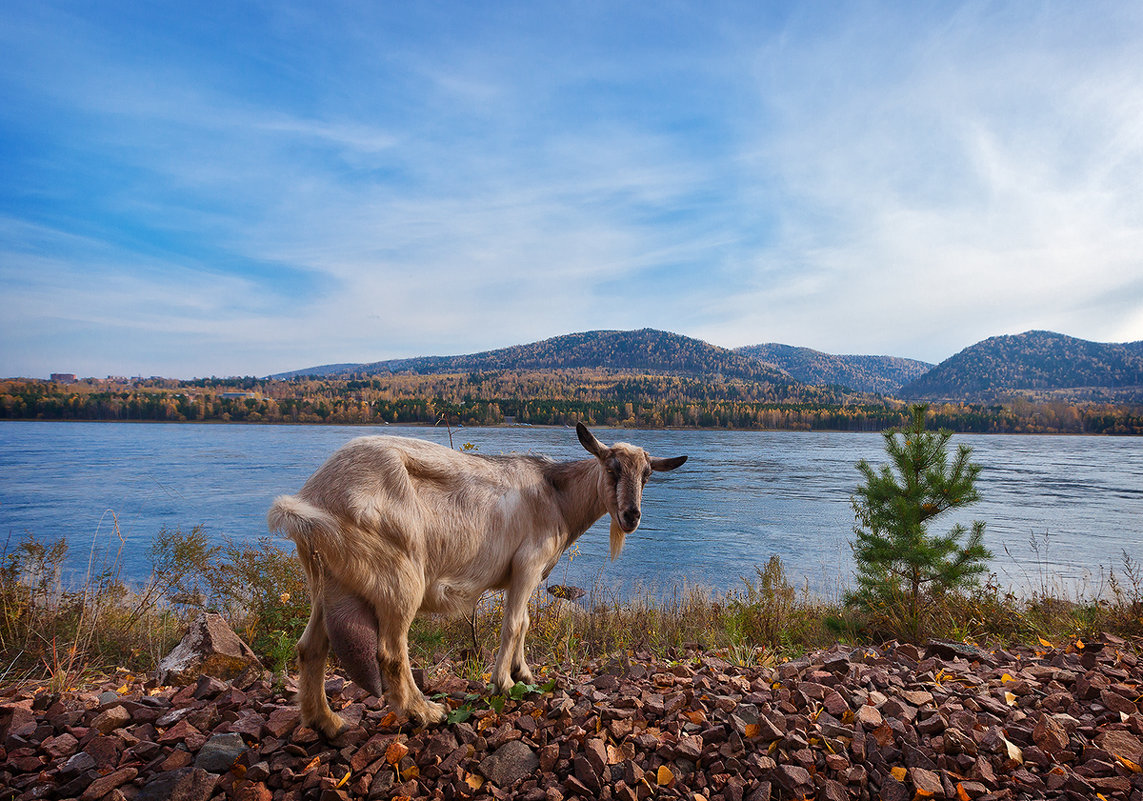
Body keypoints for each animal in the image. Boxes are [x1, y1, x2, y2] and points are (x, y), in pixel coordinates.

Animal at [265, 422, 685, 735]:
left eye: (647, 475)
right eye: (611, 469)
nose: (631, 516)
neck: (557, 495)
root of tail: (314, 499)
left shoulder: (527, 576)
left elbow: (525, 622)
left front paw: (523, 671)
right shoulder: (527, 564)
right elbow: (513, 624)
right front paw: (505, 683)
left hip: (329, 581)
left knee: (310, 647)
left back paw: (327, 722)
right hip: (399, 575)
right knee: (390, 652)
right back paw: (424, 712)